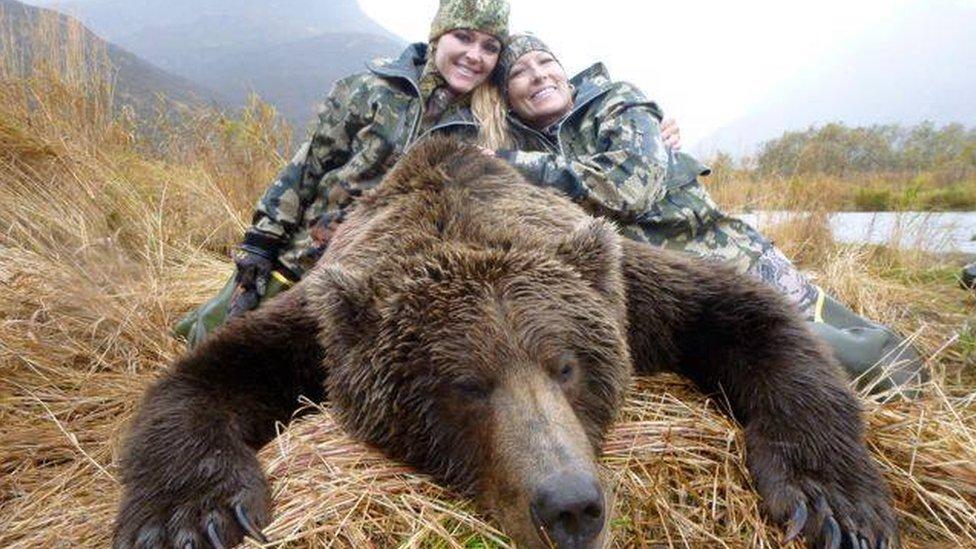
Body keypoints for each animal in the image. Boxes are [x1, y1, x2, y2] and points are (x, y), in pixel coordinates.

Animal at [110, 137, 896, 548]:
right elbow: (204, 376)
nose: (572, 507)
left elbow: (752, 316)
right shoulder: (317, 323)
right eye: (466, 385)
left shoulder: (630, 288)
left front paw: (833, 503)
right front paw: (191, 516)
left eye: (568, 366)